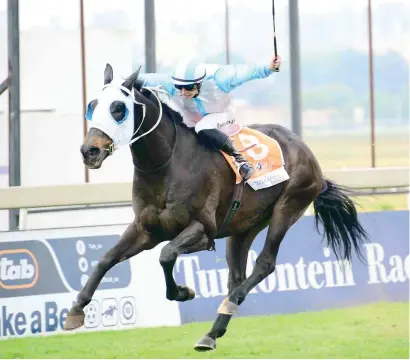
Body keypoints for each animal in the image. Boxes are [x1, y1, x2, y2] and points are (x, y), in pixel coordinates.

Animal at [64, 64, 368, 352]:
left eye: (119, 109)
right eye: (93, 105)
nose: (89, 151)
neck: (167, 163)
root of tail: (306, 151)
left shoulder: (202, 230)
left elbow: (166, 254)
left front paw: (183, 291)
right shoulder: (145, 229)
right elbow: (106, 258)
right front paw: (76, 311)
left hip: (288, 206)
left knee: (265, 264)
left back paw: (229, 305)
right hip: (244, 227)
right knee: (237, 276)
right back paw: (212, 332)